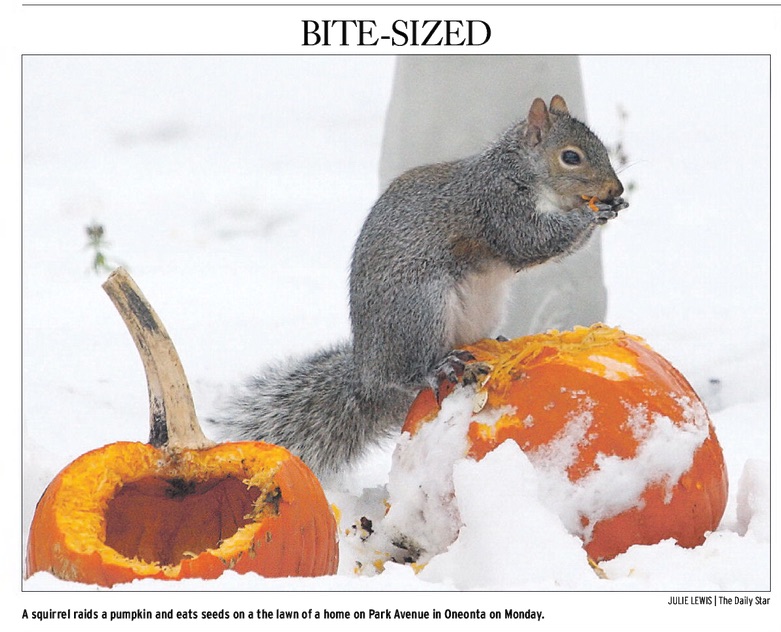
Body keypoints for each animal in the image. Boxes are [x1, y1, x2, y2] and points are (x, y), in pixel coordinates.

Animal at [213, 94, 628, 478]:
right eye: (571, 157)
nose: (615, 189)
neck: (517, 167)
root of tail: (368, 375)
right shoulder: (498, 206)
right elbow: (531, 240)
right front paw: (588, 215)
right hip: (419, 308)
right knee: (408, 373)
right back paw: (439, 366)